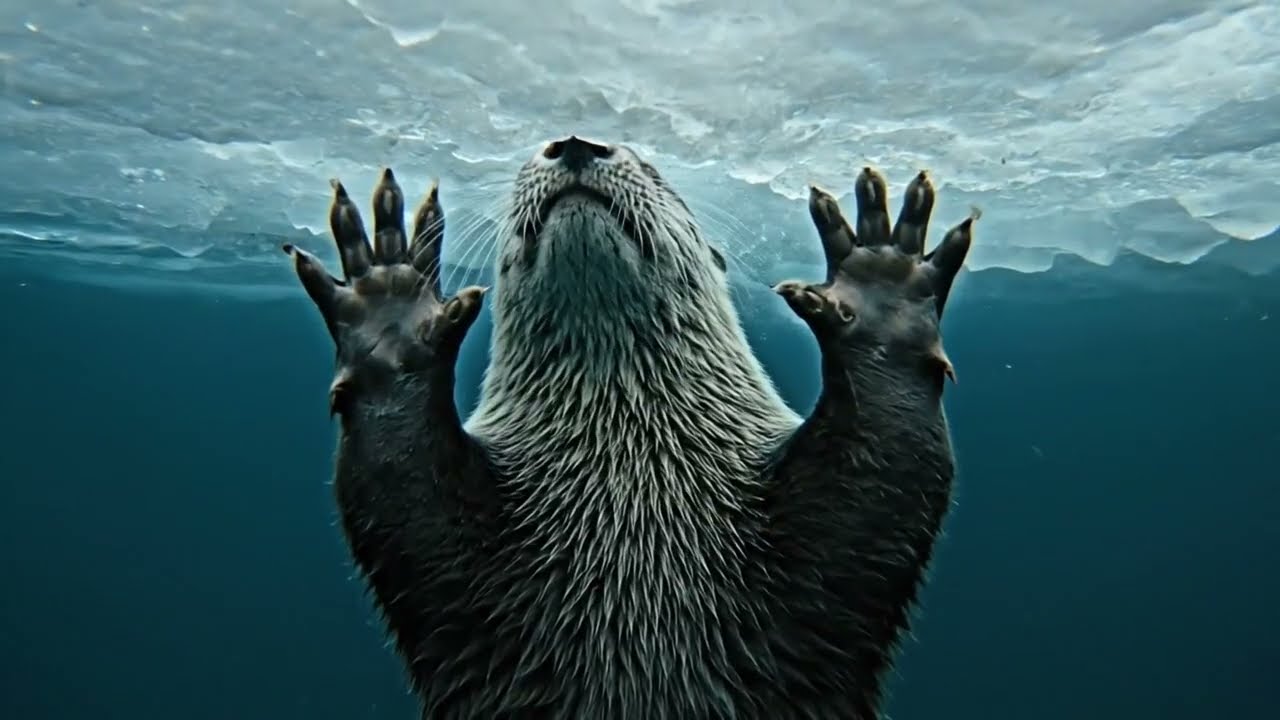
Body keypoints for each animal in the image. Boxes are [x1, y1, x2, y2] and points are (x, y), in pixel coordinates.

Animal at [283, 135, 975, 719]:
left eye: (657, 172)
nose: (574, 143)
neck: (628, 487)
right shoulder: (452, 595)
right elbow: (395, 493)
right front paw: (390, 309)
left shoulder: (829, 582)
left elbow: (890, 475)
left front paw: (880, 290)